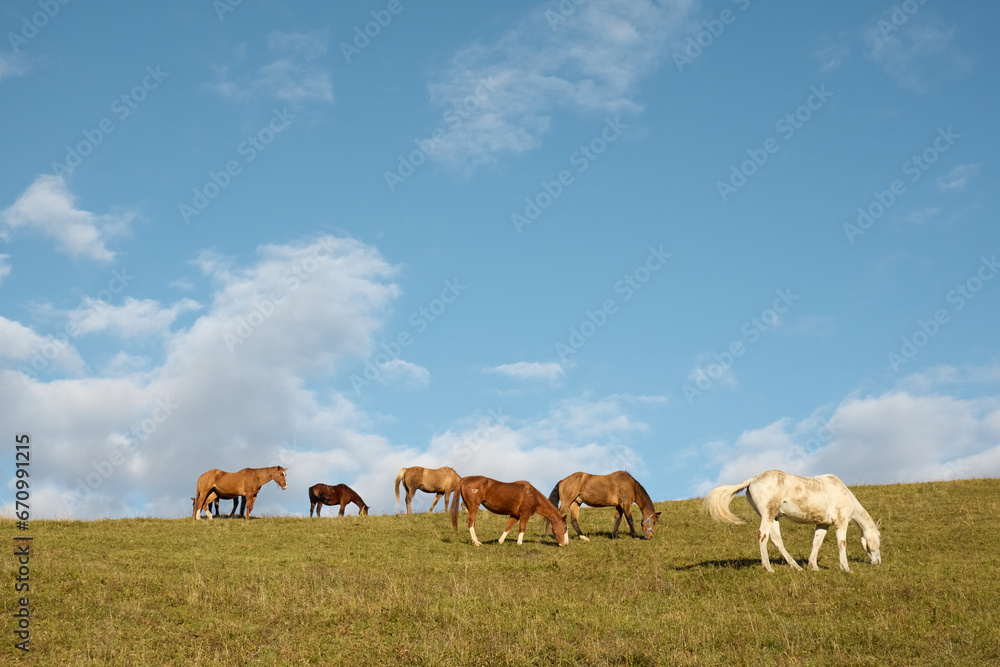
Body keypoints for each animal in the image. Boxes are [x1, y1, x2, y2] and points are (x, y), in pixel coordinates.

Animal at [704, 469, 882, 573]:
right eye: (879, 538)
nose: (878, 562)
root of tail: (753, 479)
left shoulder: (823, 524)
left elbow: (817, 543)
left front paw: (813, 566)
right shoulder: (841, 522)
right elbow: (842, 544)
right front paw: (846, 568)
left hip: (774, 518)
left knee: (777, 540)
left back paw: (796, 566)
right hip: (768, 515)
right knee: (763, 537)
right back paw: (768, 568)